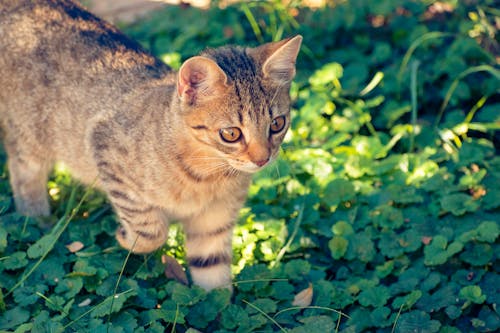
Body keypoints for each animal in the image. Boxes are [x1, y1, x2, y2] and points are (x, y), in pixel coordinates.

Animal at [0, 0, 300, 290]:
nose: (263, 159)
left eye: (277, 124)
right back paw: (39, 223)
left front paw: (216, 304)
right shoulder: (106, 150)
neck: (207, 176)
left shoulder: (213, 224)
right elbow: (151, 231)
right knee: (23, 177)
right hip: (28, 138)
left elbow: (213, 280)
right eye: (230, 134)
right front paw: (125, 236)